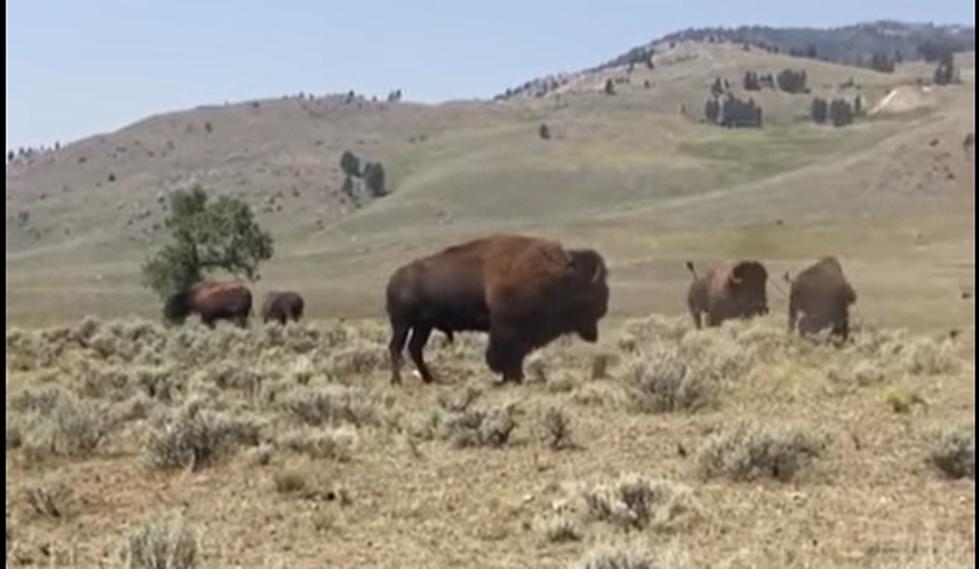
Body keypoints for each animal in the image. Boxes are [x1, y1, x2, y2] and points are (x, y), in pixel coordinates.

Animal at [386, 233, 608, 384]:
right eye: (589, 290)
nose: (604, 306)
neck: (556, 275)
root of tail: (394, 279)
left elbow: (516, 356)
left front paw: (516, 377)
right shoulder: (507, 328)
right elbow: (504, 354)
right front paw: (511, 377)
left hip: (423, 326)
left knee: (414, 348)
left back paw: (429, 379)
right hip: (402, 324)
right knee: (396, 347)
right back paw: (398, 381)